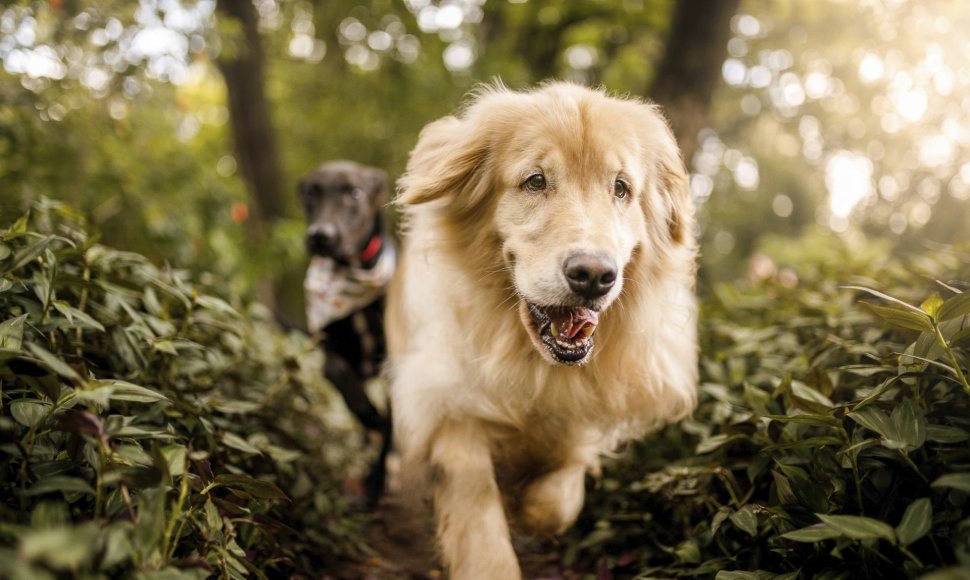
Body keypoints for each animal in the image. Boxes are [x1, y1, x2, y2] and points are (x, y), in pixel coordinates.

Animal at [300, 159, 396, 502]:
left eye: (354, 192)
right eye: (311, 192)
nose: (320, 236)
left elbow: (391, 424)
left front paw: (375, 485)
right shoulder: (330, 351)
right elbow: (339, 374)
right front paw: (370, 417)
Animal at [384, 82, 696, 580]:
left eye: (621, 188)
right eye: (535, 181)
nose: (594, 275)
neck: (533, 360)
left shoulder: (580, 413)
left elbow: (560, 498)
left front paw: (528, 509)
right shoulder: (451, 401)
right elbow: (478, 509)